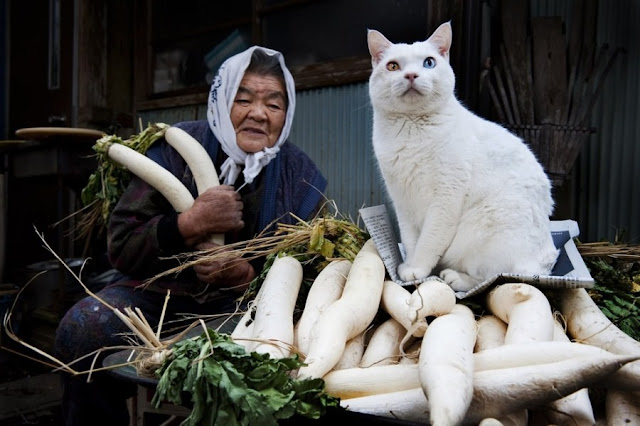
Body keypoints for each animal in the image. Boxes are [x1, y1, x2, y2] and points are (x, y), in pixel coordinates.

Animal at [368, 22, 556, 292]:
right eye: (393, 66)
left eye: (428, 63)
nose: (411, 75)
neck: (412, 131)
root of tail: (547, 261)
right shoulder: (402, 203)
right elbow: (411, 240)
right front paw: (411, 269)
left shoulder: (445, 198)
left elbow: (429, 241)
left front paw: (418, 269)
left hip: (484, 226)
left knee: (494, 277)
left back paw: (455, 277)